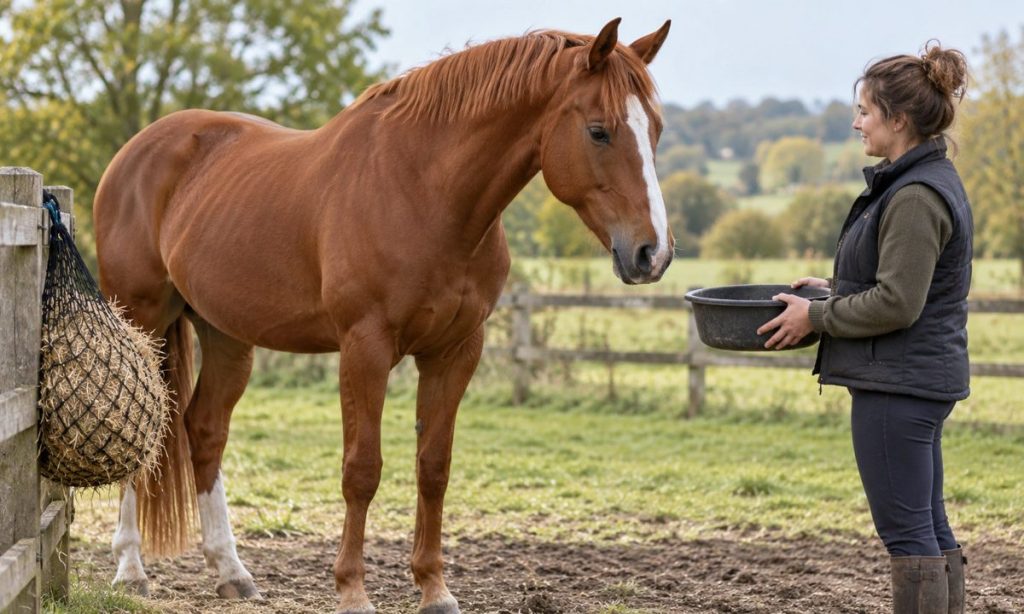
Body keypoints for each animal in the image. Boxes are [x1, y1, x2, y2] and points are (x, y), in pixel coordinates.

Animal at [93, 17, 673, 613]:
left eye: (655, 130)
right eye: (600, 132)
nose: (651, 253)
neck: (426, 193)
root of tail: (138, 150)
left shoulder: (454, 352)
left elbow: (433, 467)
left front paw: (434, 588)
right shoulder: (364, 348)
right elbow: (362, 470)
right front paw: (352, 589)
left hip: (227, 335)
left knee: (205, 430)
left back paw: (231, 571)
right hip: (141, 320)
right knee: (143, 427)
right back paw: (131, 570)